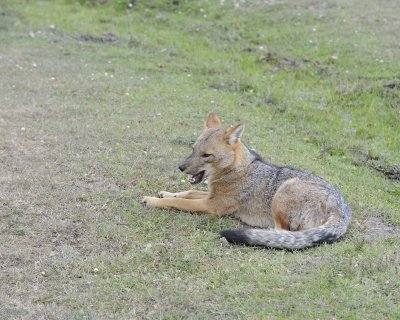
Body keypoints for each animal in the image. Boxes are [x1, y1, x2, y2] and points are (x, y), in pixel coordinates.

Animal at [142, 112, 352, 250]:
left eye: (207, 155)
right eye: (193, 149)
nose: (181, 167)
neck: (237, 169)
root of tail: (343, 210)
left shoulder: (212, 206)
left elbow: (179, 202)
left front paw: (153, 200)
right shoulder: (211, 196)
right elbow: (188, 192)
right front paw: (165, 193)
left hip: (284, 190)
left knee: (282, 233)